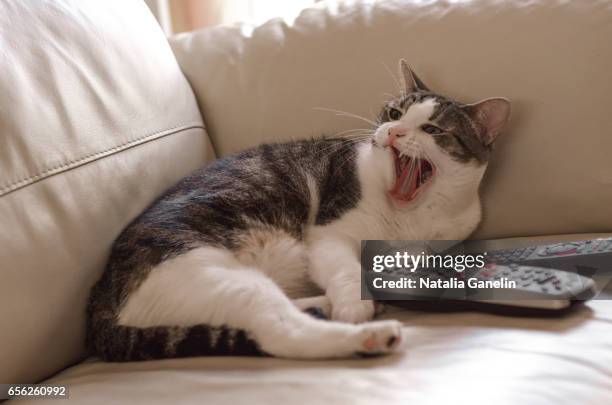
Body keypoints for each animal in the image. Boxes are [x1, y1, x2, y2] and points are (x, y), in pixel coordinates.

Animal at [83, 60, 510, 360]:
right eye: (394, 114)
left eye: (433, 130)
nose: (393, 132)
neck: (410, 213)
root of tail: (98, 301)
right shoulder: (329, 234)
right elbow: (347, 269)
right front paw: (354, 304)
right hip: (205, 271)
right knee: (280, 332)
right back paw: (368, 334)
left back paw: (324, 305)